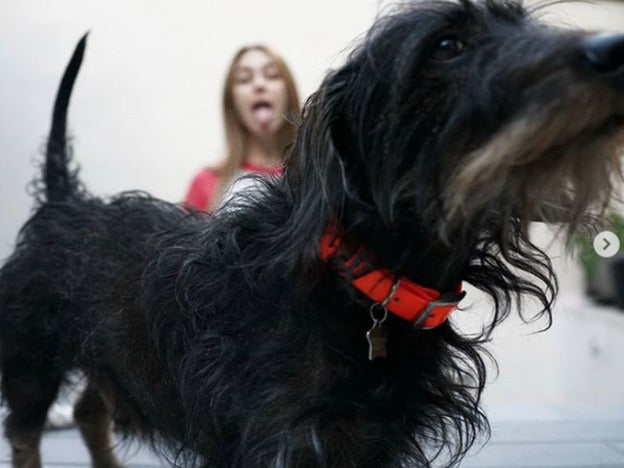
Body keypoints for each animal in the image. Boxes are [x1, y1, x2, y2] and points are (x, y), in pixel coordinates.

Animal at [1, 1, 624, 466]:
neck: (361, 283)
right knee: (27, 428)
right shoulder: (282, 440)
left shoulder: (378, 443)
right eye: (448, 45)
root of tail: (64, 199)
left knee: (89, 410)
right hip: (34, 361)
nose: (613, 49)